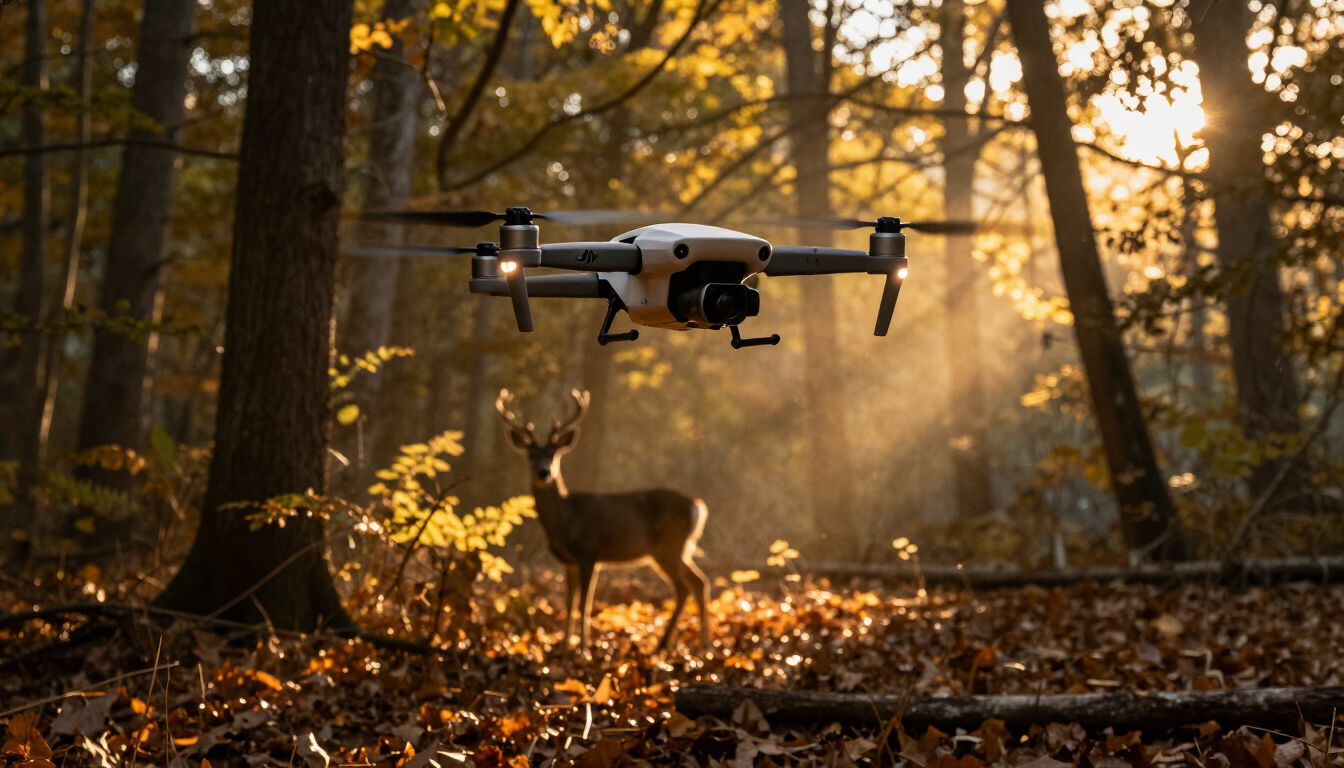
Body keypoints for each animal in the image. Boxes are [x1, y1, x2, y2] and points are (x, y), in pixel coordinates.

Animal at [496, 388, 711, 653]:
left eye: (553, 455)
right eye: (530, 454)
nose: (544, 472)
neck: (565, 521)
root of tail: (697, 506)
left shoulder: (589, 553)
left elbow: (584, 604)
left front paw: (583, 648)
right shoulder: (570, 562)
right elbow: (569, 603)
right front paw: (564, 647)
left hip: (668, 547)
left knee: (683, 587)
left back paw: (662, 644)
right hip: (682, 548)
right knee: (700, 582)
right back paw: (702, 642)